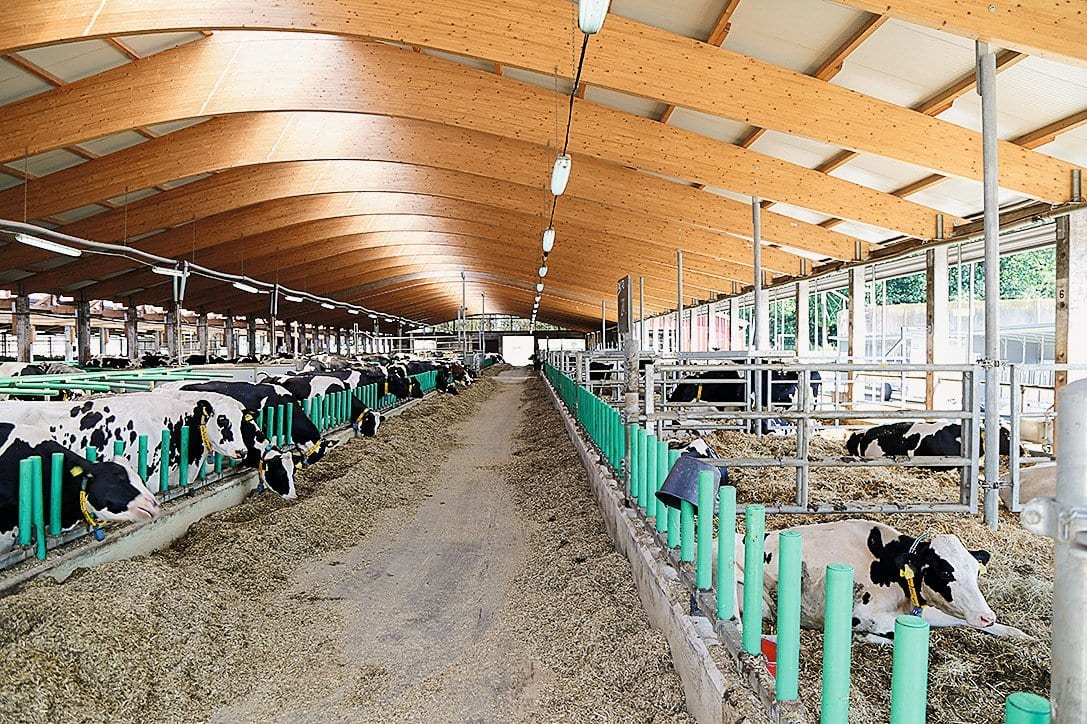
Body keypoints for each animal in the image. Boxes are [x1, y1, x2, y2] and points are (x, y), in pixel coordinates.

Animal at [729, 520, 1031, 644]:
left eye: (976, 572)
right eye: (945, 573)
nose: (986, 616)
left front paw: (1018, 633)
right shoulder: (861, 615)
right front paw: (867, 637)